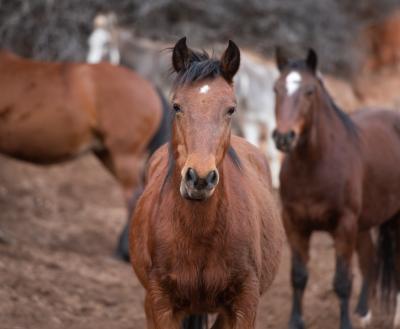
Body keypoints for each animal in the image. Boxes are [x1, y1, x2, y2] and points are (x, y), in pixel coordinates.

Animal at [274, 48, 400, 328]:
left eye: (310, 91)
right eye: (276, 88)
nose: (284, 137)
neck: (315, 167)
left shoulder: (344, 225)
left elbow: (342, 282)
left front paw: (345, 323)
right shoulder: (294, 224)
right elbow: (298, 276)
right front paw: (295, 322)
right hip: (363, 224)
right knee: (369, 260)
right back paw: (363, 312)